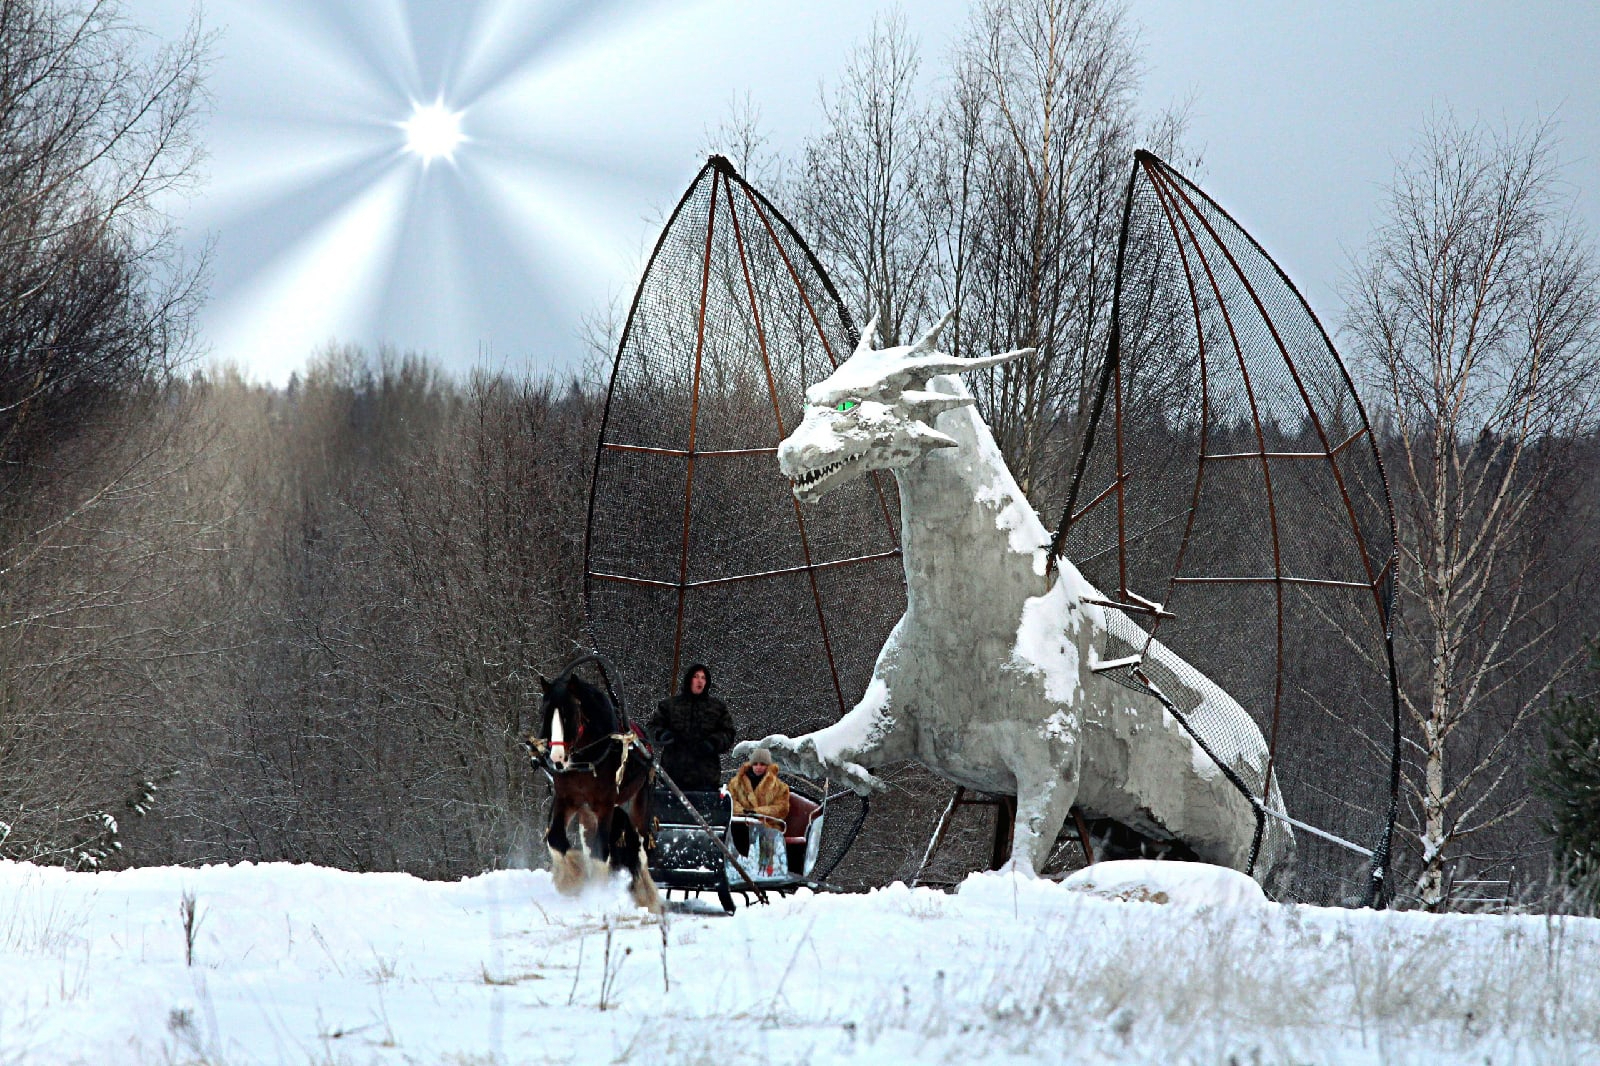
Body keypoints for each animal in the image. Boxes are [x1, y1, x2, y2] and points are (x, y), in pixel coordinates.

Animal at [528, 653, 659, 909]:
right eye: (545, 714)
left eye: (568, 714)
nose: (556, 759)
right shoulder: (567, 799)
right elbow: (556, 838)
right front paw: (572, 880)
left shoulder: (604, 804)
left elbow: (601, 852)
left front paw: (598, 893)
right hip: (587, 814)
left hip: (639, 802)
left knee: (639, 845)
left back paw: (645, 895)